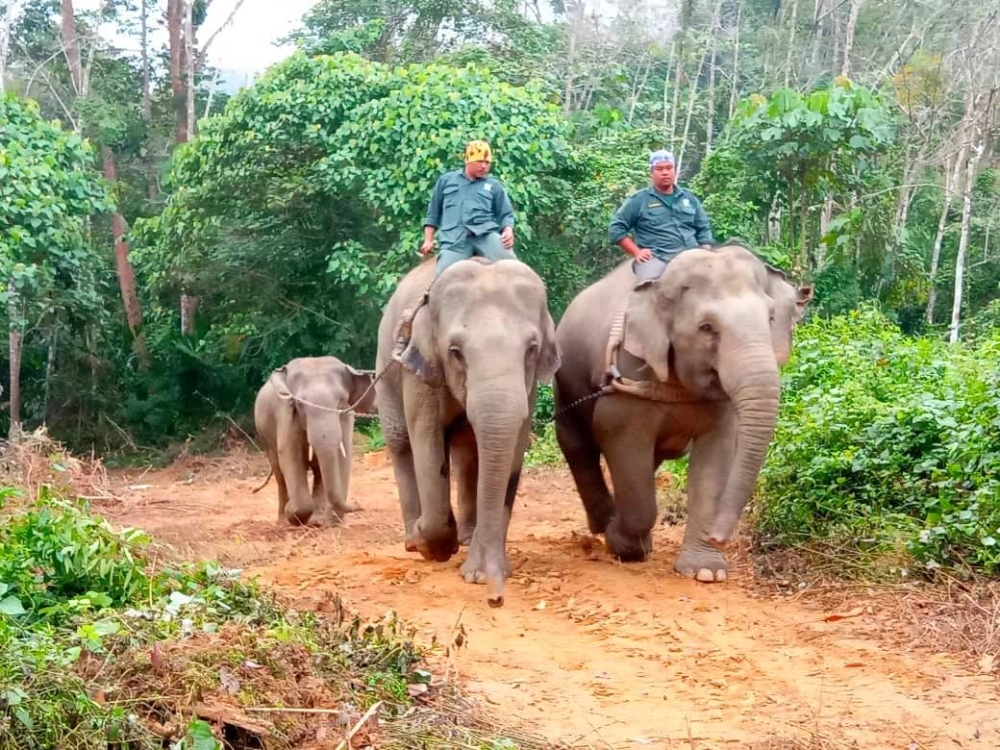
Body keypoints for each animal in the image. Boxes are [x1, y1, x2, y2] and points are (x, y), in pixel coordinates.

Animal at [252, 360, 376, 524]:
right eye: (300, 404)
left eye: (341, 403)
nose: (358, 505)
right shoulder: (286, 413)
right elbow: (290, 455)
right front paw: (292, 513)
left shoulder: (347, 415)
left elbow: (344, 457)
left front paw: (333, 523)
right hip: (265, 435)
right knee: (279, 471)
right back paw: (283, 521)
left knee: (318, 471)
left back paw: (316, 520)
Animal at [376, 256, 564, 608]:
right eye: (455, 352)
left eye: (531, 349)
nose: (495, 597)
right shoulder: (420, 371)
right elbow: (426, 440)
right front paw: (435, 547)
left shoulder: (528, 387)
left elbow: (511, 448)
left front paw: (480, 573)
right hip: (385, 364)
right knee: (400, 441)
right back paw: (413, 539)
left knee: (466, 449)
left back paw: (464, 536)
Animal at [552, 244, 816, 584]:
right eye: (706, 328)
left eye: (770, 317)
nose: (719, 536)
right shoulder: (628, 375)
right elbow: (618, 436)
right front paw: (625, 547)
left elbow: (717, 454)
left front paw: (705, 571)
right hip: (567, 380)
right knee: (577, 443)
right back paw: (603, 523)